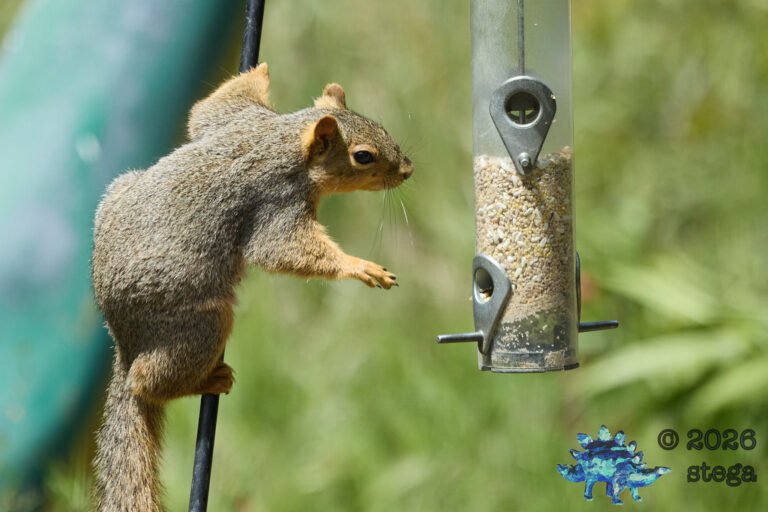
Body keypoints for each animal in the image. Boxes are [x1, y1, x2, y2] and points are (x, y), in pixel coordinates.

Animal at [91, 63, 413, 511]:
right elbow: (284, 251)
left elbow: (207, 110)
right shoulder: (277, 207)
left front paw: (258, 70)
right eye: (363, 156)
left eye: (381, 127)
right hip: (199, 324)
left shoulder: (233, 119)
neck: (280, 139)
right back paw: (204, 380)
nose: (408, 169)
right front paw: (361, 267)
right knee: (149, 382)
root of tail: (124, 339)